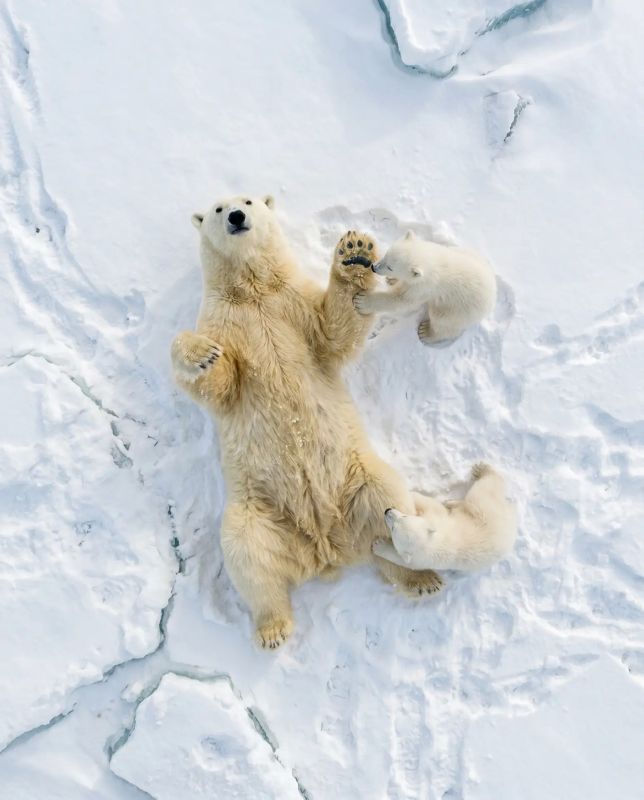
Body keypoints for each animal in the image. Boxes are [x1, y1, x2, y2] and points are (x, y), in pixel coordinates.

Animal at [171, 195, 442, 649]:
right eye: (217, 209)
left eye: (247, 200)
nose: (237, 216)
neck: (253, 291)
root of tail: (324, 549)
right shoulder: (221, 322)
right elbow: (221, 384)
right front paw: (198, 352)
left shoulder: (293, 302)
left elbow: (333, 332)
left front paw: (354, 249)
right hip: (255, 506)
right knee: (250, 554)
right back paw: (273, 628)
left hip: (356, 475)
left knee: (385, 504)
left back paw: (420, 579)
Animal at [353, 230, 496, 346]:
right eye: (386, 255)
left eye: (390, 267)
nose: (373, 267)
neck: (432, 260)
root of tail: (492, 298)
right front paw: (392, 279)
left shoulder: (425, 287)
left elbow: (402, 300)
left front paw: (361, 301)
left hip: (459, 308)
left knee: (443, 322)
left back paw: (425, 332)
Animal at [372, 464, 517, 572]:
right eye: (404, 516)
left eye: (393, 528)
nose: (387, 510)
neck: (433, 544)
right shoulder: (422, 555)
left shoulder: (422, 557)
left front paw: (377, 545)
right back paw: (451, 502)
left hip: (483, 508)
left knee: (485, 488)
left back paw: (480, 469)